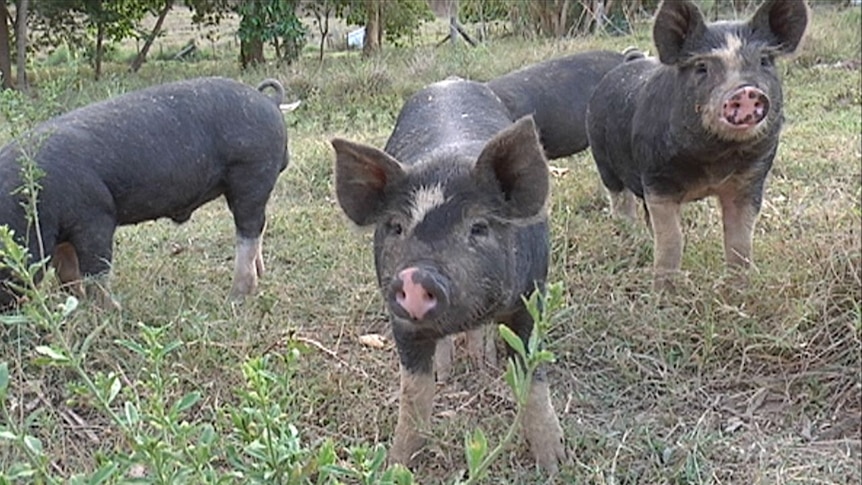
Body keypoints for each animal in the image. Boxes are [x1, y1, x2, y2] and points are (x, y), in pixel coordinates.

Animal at [330, 77, 568, 470]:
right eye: (396, 226)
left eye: (479, 227)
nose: (415, 276)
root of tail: (448, 82)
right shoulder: (401, 322)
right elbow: (414, 395)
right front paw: (396, 465)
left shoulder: (531, 298)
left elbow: (533, 381)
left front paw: (555, 463)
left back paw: (484, 362)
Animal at [584, 0, 812, 288]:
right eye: (702, 67)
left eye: (765, 61)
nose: (746, 91)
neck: (713, 161)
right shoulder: (656, 178)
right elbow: (672, 240)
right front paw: (665, 292)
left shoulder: (751, 179)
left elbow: (739, 241)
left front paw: (741, 287)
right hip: (602, 157)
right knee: (620, 200)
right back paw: (630, 236)